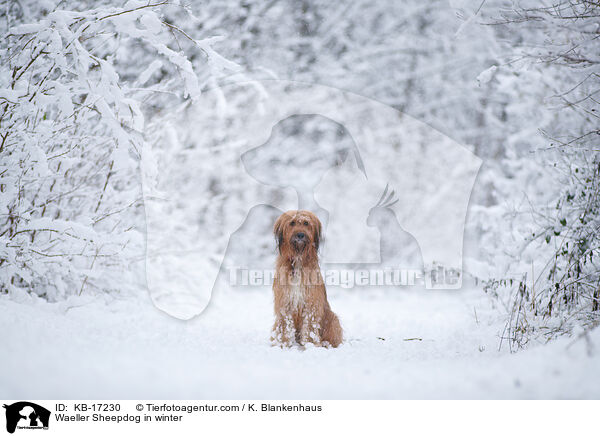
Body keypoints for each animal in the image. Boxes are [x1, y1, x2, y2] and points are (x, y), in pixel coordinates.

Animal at [272, 210, 342, 348]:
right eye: (292, 223)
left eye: (306, 223)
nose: (300, 235)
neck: (298, 260)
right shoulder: (285, 302)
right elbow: (285, 325)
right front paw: (283, 344)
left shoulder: (311, 302)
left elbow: (310, 325)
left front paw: (310, 344)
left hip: (332, 319)